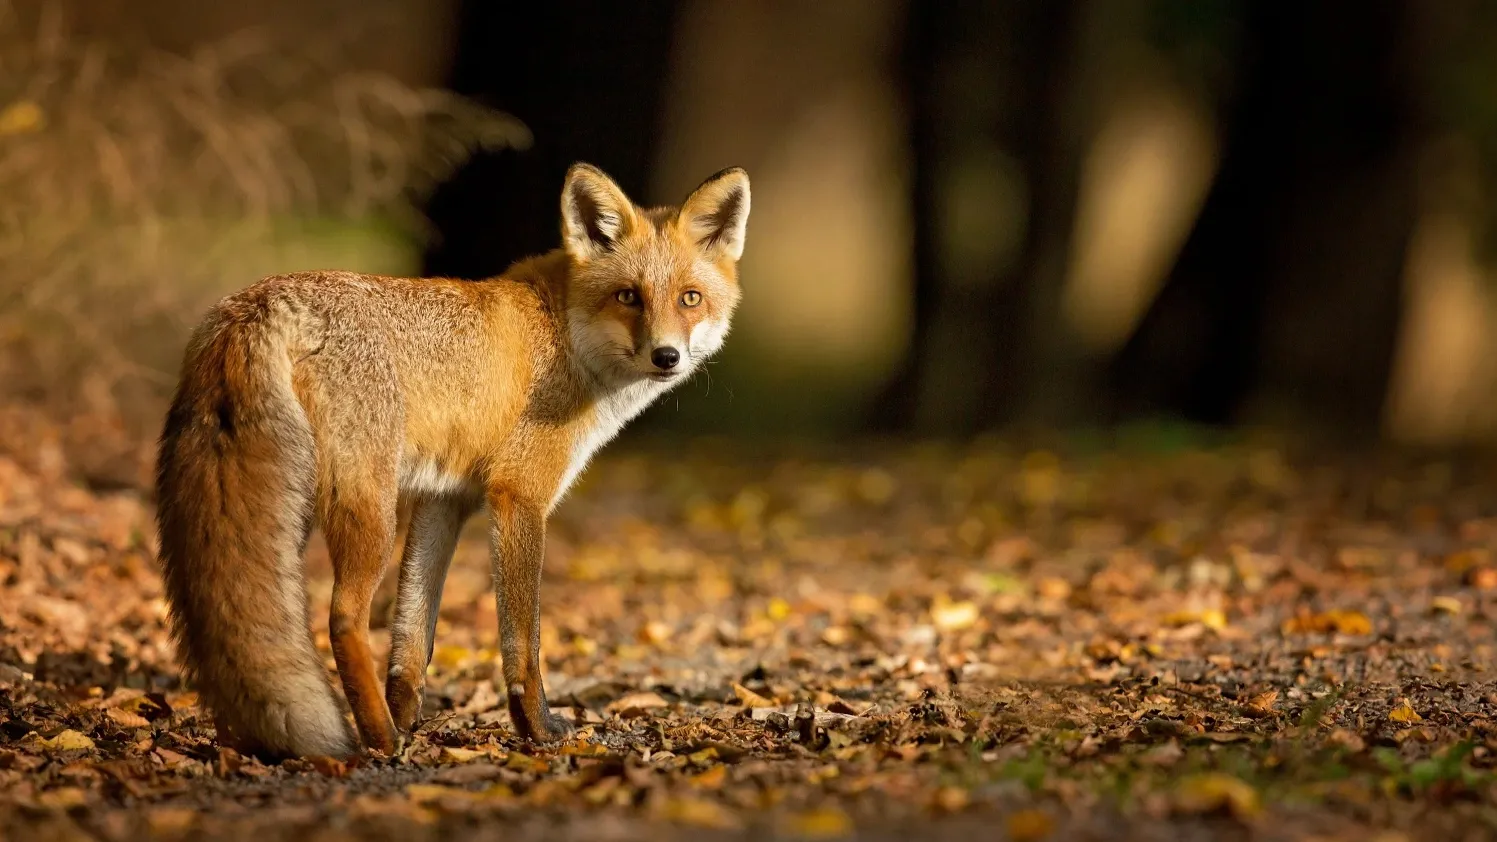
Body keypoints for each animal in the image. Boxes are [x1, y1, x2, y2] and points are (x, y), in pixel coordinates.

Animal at [154, 162, 748, 755]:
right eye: (628, 296)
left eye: (690, 298)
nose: (666, 356)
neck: (563, 334)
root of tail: (257, 303)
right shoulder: (517, 494)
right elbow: (522, 639)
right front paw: (535, 727)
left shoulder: (445, 498)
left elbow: (414, 633)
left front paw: (408, 713)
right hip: (366, 509)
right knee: (343, 618)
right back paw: (379, 740)